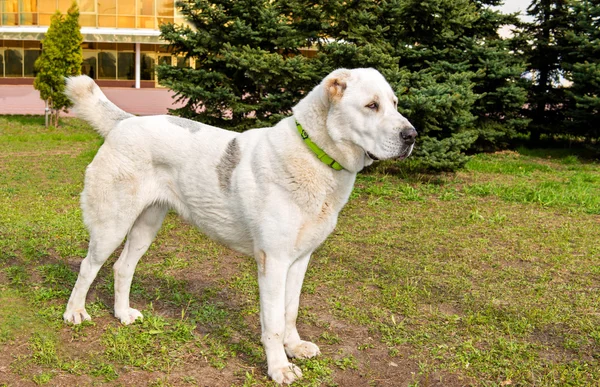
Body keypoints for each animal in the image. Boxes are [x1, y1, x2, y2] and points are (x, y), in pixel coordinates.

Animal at [63, 68, 414, 384]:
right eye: (371, 105)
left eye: (395, 103)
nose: (412, 136)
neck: (314, 155)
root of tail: (126, 122)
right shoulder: (273, 262)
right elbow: (273, 323)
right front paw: (279, 368)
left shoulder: (300, 260)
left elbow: (290, 311)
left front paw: (294, 347)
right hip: (112, 226)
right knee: (88, 266)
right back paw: (75, 313)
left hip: (145, 227)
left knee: (122, 268)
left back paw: (123, 314)